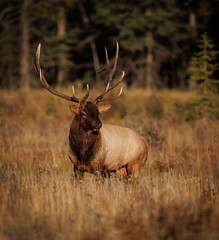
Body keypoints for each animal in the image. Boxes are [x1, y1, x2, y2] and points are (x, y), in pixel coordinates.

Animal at [34, 42, 148, 180]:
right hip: (122, 170)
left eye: (98, 112)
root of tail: (145, 142)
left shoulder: (100, 168)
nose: (98, 124)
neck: (82, 153)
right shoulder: (76, 168)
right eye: (83, 113)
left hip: (136, 165)